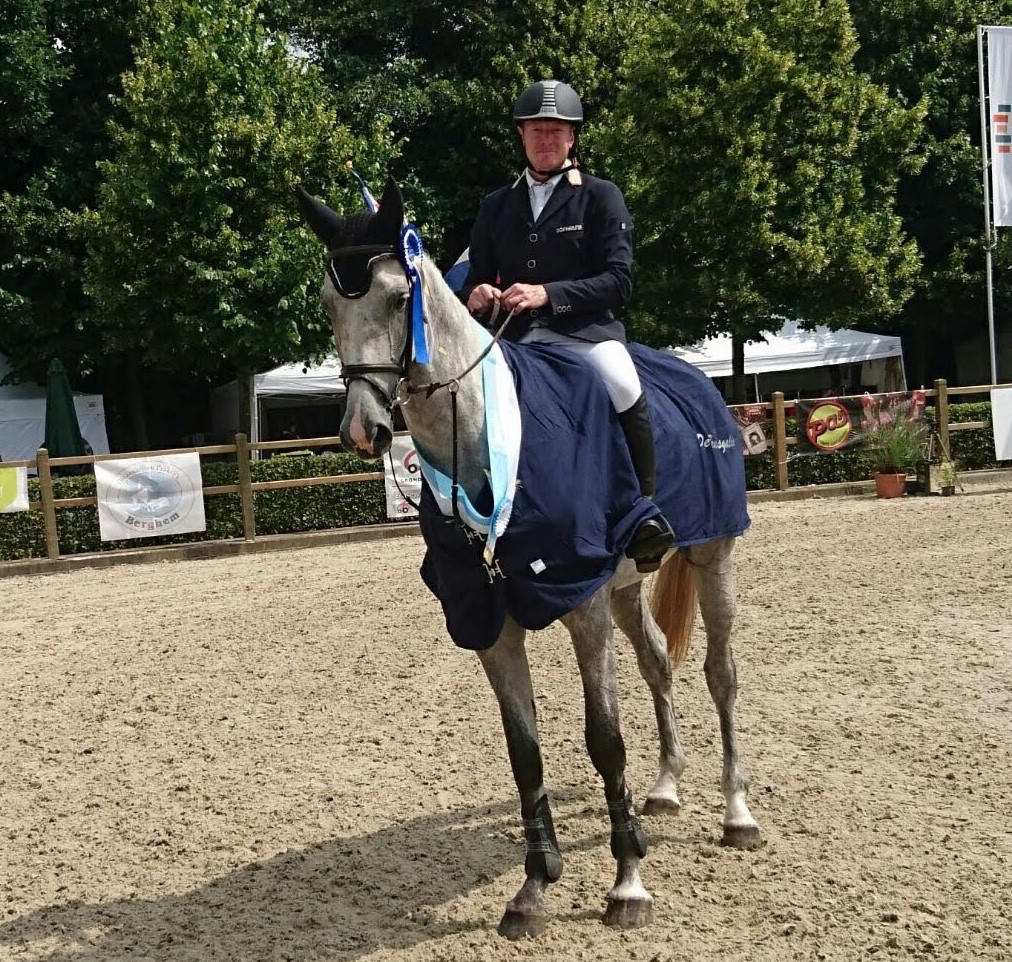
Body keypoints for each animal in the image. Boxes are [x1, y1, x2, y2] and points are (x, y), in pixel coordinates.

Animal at [295, 178, 761, 938]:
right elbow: (525, 750)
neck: (489, 443)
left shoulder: (583, 607)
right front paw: (534, 887)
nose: (364, 431)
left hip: (711, 556)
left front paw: (628, 883)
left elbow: (604, 740)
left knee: (721, 674)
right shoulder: (490, 621)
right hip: (626, 585)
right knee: (659, 663)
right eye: (332, 304)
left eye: (397, 299)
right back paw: (665, 787)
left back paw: (737, 813)